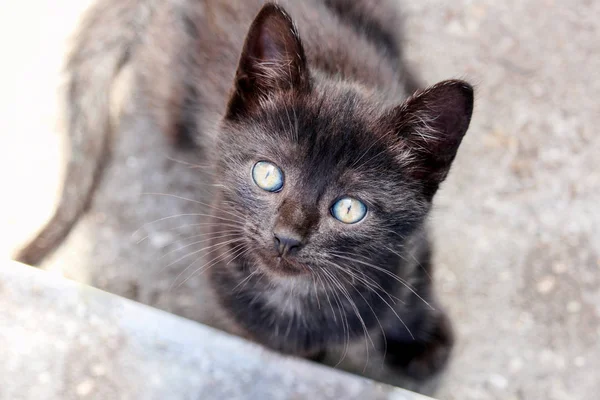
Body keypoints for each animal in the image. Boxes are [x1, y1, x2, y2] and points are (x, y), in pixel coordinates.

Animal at [16, 0, 474, 382]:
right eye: (267, 175)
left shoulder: (411, 246)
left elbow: (413, 289)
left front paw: (419, 341)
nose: (286, 237)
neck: (296, 295)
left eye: (349, 209)